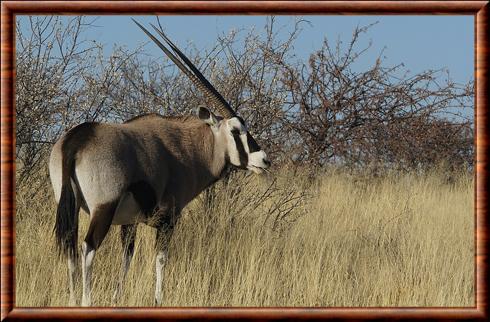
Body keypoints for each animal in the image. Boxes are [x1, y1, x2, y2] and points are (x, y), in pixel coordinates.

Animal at [48, 20, 272, 306]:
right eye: (235, 131)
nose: (263, 159)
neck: (186, 148)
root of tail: (77, 139)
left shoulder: (129, 223)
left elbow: (127, 258)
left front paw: (117, 298)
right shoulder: (168, 219)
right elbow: (161, 259)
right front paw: (158, 299)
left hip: (70, 206)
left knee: (70, 246)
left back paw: (73, 301)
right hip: (103, 209)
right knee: (88, 247)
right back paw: (87, 301)